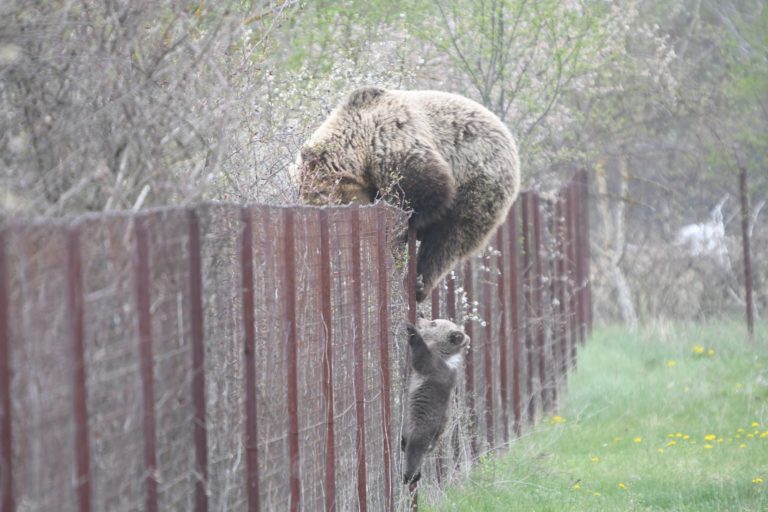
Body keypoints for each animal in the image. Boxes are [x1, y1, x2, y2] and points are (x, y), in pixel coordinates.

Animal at [294, 86, 520, 302]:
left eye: (323, 198)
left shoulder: (393, 142)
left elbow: (425, 191)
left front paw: (397, 226)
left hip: (480, 180)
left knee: (450, 237)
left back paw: (420, 282)